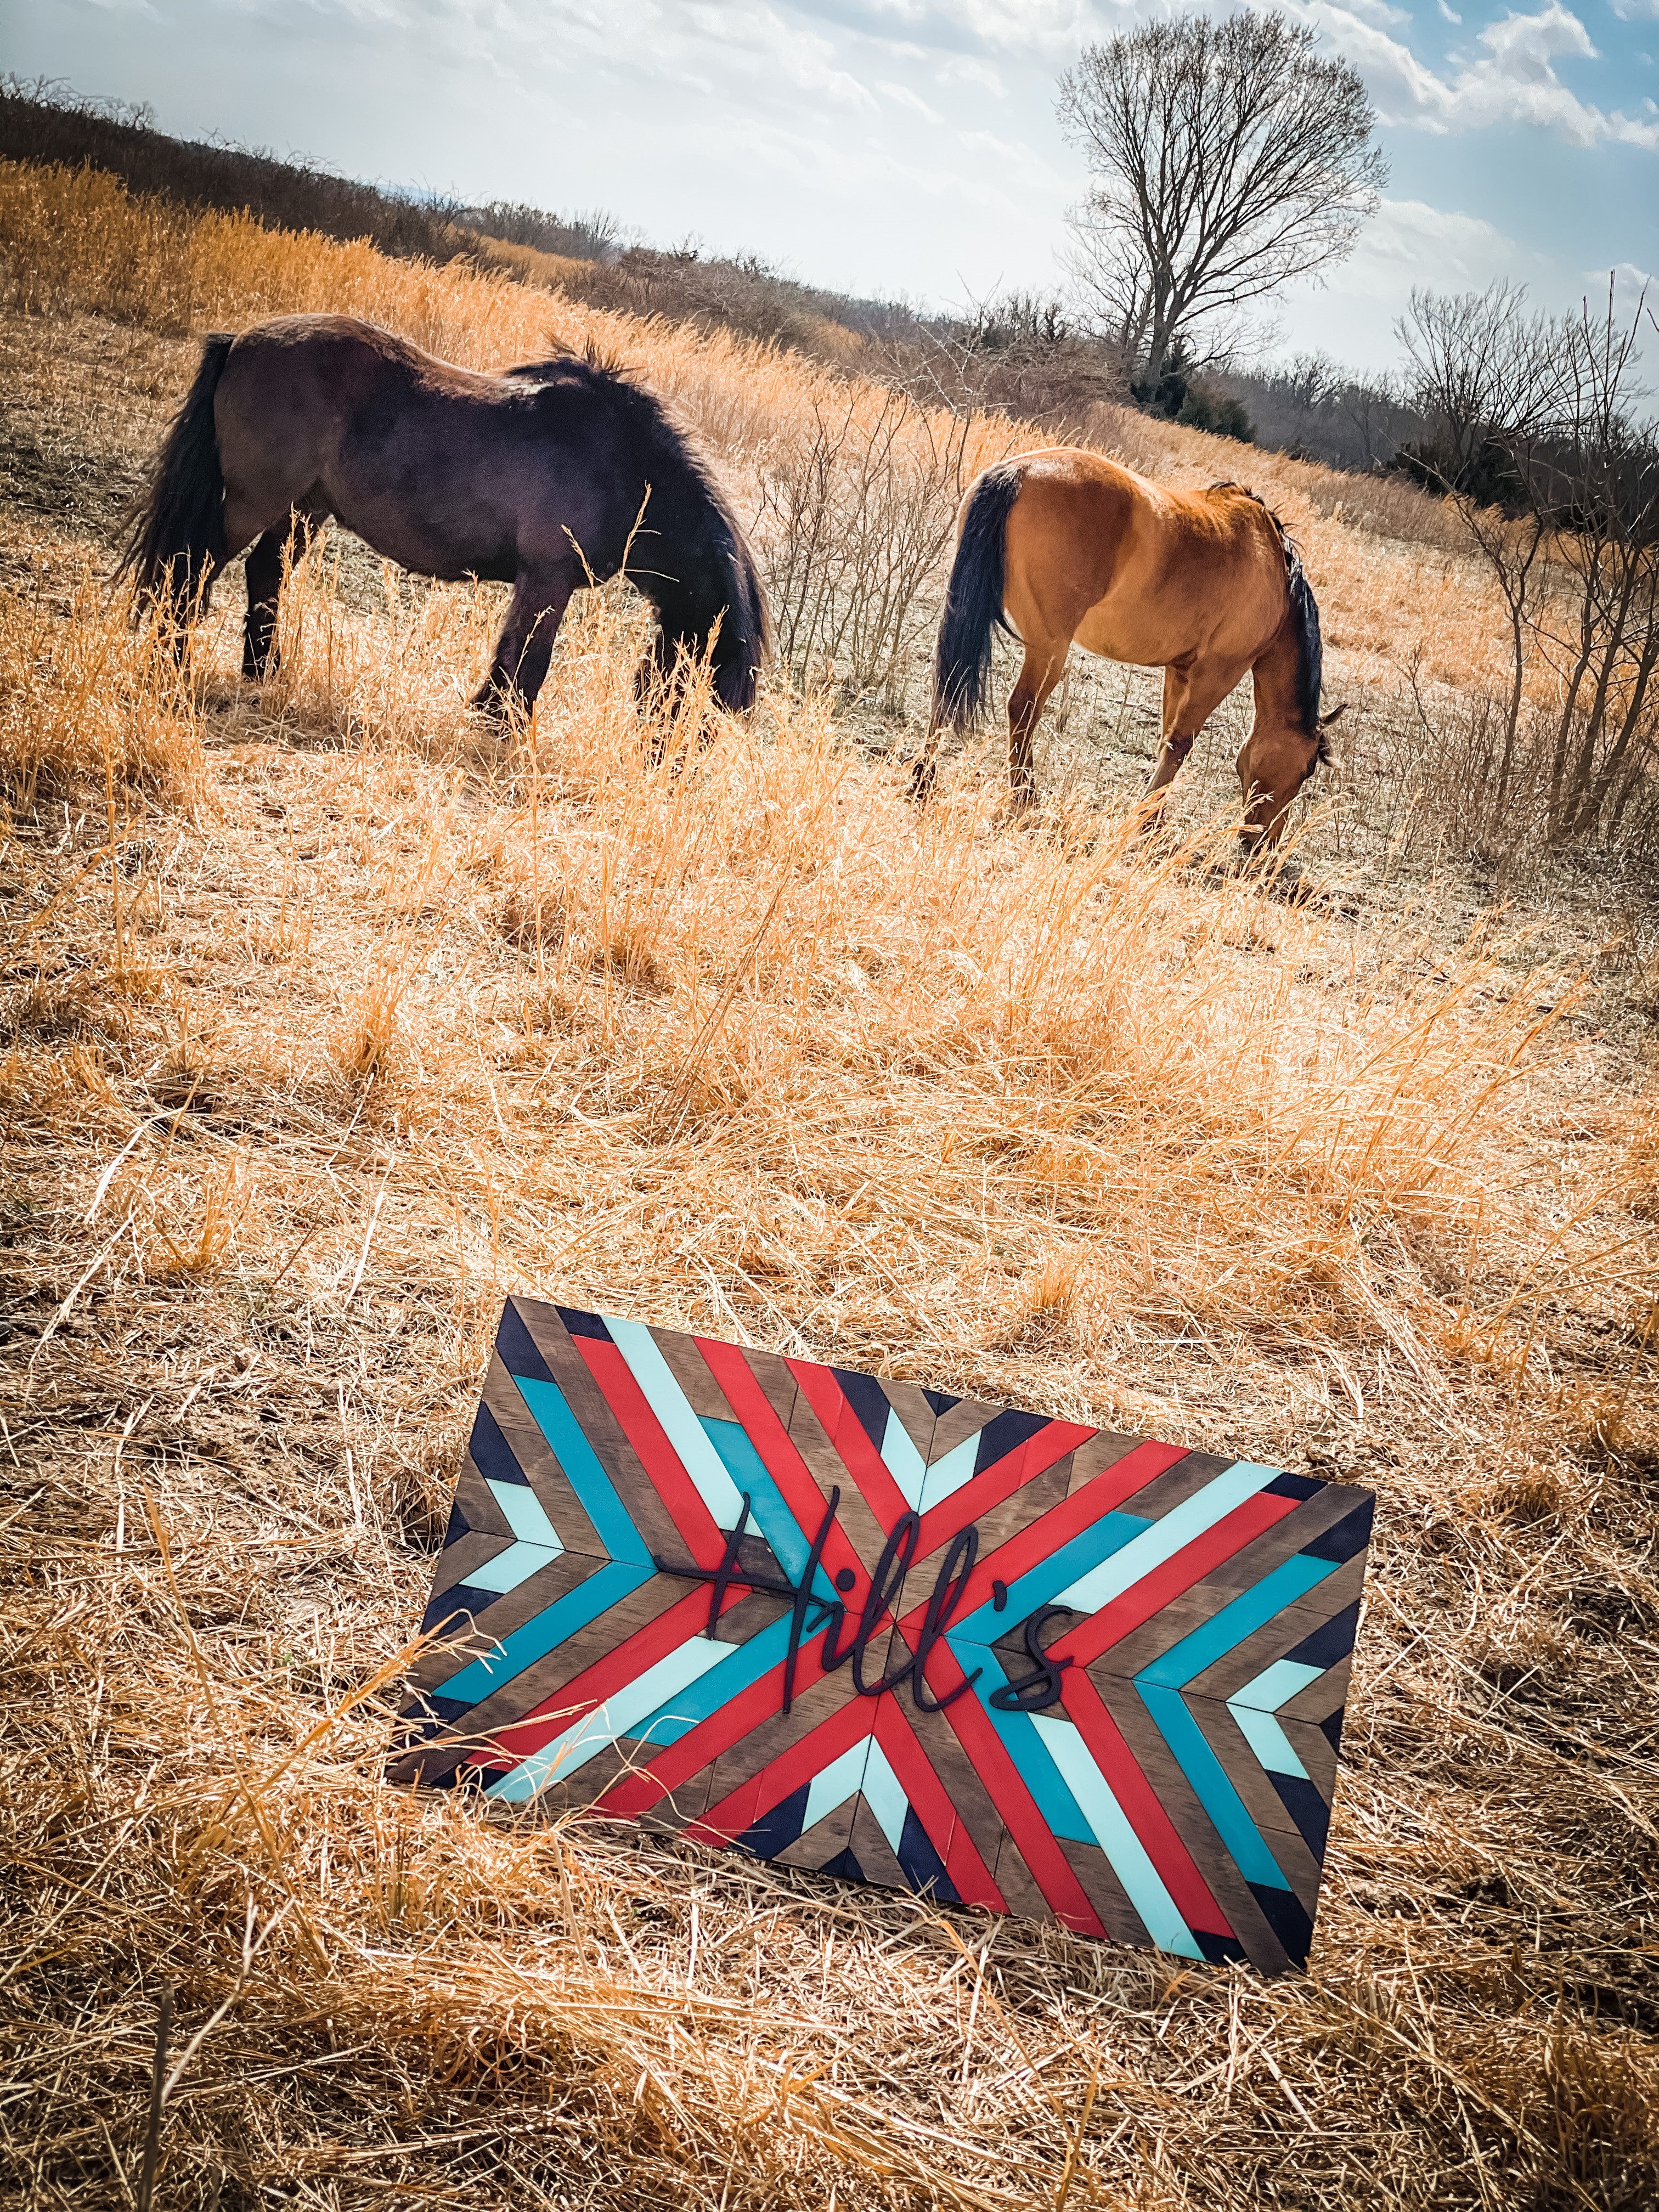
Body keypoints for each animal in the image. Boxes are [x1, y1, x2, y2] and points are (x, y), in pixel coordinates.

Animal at [120, 316, 770, 712]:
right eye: (704, 701)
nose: (670, 772)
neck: (624, 465)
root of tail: (239, 343)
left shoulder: (541, 582)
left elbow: (515, 655)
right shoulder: (549, 578)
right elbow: (529, 661)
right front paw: (500, 725)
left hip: (302, 508)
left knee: (264, 575)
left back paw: (263, 673)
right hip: (253, 502)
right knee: (189, 572)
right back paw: (169, 668)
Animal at [916, 444, 1345, 840]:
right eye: (1306, 770)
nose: (1262, 844)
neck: (1273, 570)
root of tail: (1017, 472)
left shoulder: (1179, 670)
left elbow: (1166, 739)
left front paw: (1154, 817)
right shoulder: (1218, 672)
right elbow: (1181, 743)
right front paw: (1147, 822)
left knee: (950, 684)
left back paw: (923, 783)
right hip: (1051, 648)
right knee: (1022, 709)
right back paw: (1024, 799)